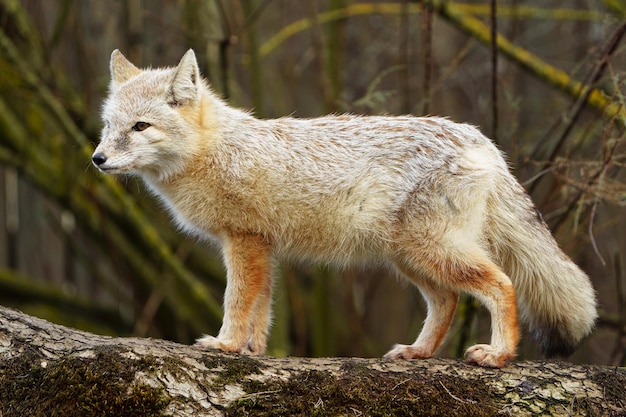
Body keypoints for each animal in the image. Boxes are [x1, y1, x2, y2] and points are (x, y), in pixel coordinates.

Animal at [92, 49, 596, 368]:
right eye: (109, 126)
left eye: (140, 127)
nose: (96, 159)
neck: (216, 150)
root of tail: (480, 139)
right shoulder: (262, 247)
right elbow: (262, 311)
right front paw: (252, 350)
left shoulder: (244, 242)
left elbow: (237, 301)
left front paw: (225, 344)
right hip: (410, 258)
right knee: (449, 301)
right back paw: (419, 353)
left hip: (431, 251)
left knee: (502, 284)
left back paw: (499, 355)